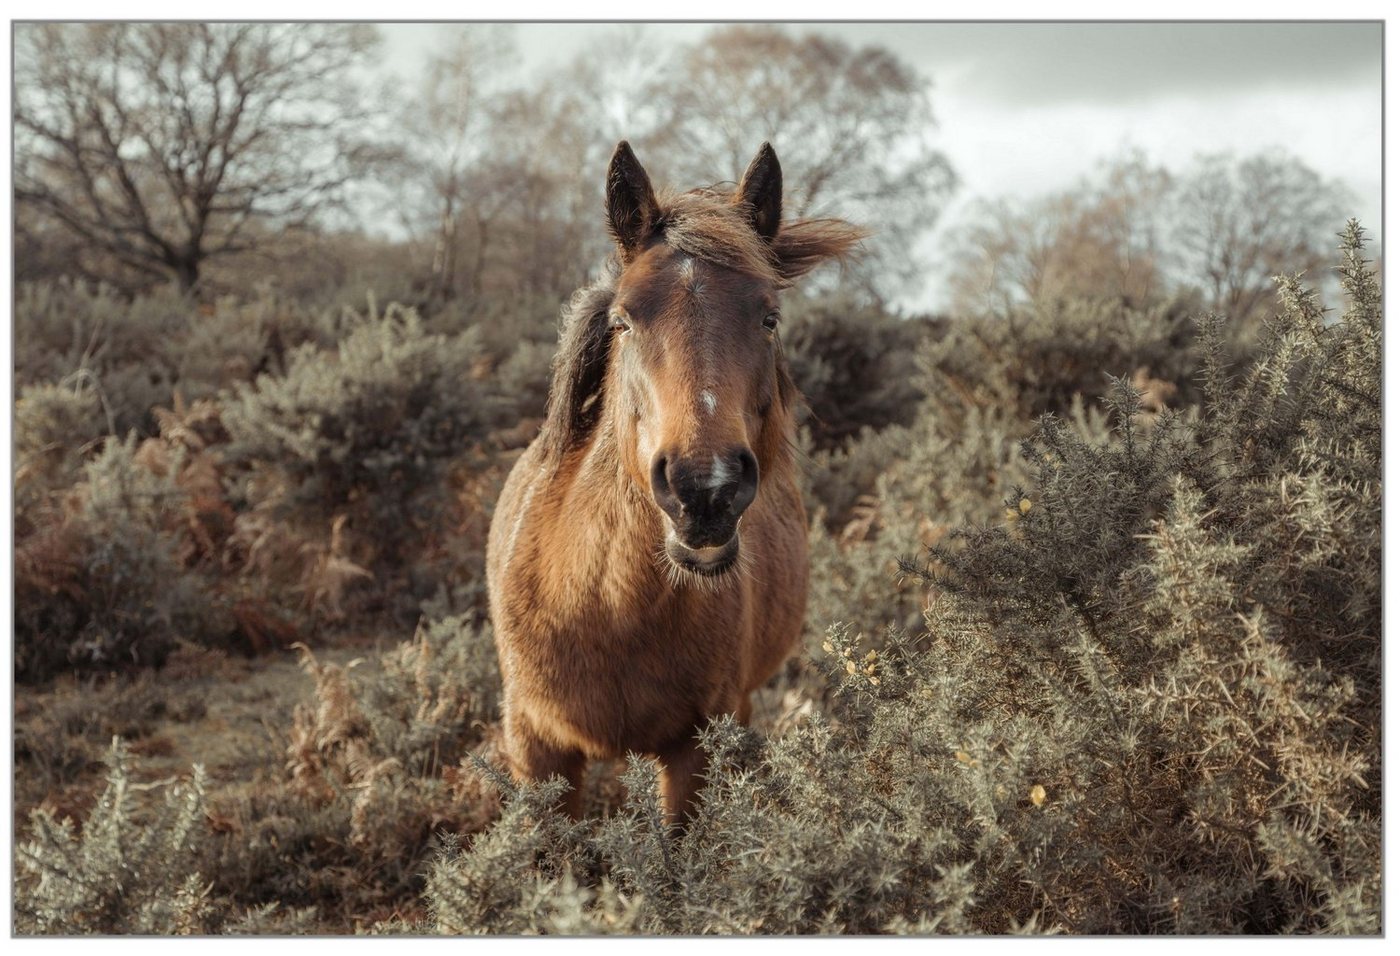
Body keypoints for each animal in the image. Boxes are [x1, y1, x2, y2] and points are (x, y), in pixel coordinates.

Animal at [490, 139, 862, 823]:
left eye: (769, 318)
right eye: (624, 320)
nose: (705, 489)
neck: (605, 606)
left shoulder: (697, 748)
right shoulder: (537, 751)